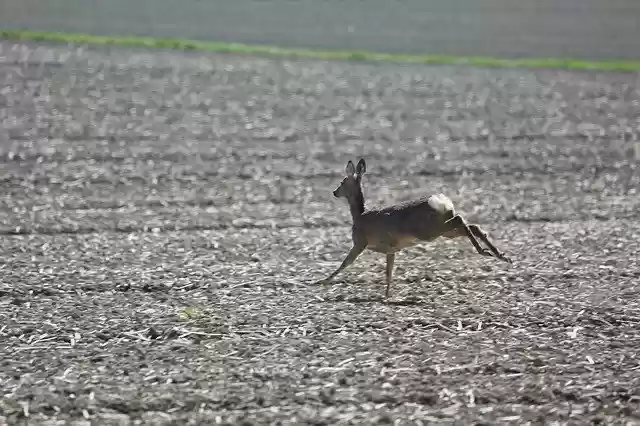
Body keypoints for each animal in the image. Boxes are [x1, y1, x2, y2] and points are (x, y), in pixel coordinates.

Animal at [316, 158, 513, 298]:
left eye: (342, 182)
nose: (334, 192)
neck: (359, 215)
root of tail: (442, 203)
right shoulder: (391, 248)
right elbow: (389, 271)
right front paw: (387, 294)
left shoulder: (360, 242)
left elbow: (345, 263)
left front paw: (322, 281)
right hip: (444, 231)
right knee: (472, 225)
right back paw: (501, 256)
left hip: (428, 231)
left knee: (460, 220)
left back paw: (486, 252)